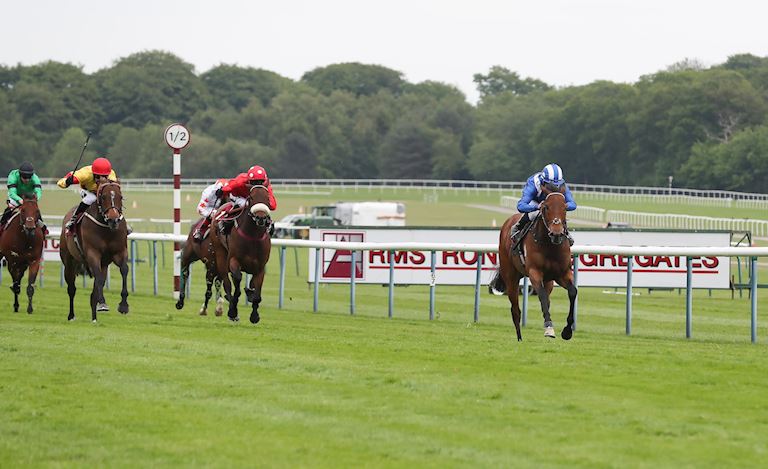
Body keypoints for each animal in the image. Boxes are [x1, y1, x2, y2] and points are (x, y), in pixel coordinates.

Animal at [60, 180, 130, 322]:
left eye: (120, 197)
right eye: (103, 197)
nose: (113, 219)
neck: (106, 229)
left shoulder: (119, 252)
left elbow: (124, 270)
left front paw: (124, 305)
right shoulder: (93, 254)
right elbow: (98, 276)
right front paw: (103, 303)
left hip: (104, 264)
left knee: (95, 290)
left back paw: (94, 318)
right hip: (69, 261)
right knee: (71, 288)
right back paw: (71, 315)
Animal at [210, 185, 272, 324]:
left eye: (267, 198)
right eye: (251, 197)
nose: (261, 218)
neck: (253, 236)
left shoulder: (260, 267)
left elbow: (256, 292)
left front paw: (254, 315)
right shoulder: (233, 260)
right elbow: (237, 279)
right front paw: (233, 309)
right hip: (221, 255)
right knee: (227, 283)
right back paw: (231, 310)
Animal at [492, 186, 576, 340]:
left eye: (565, 207)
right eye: (546, 207)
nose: (556, 233)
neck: (550, 246)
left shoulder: (562, 273)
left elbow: (572, 292)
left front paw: (567, 331)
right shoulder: (534, 272)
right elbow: (541, 295)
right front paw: (549, 328)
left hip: (549, 281)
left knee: (547, 301)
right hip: (510, 277)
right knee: (515, 309)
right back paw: (519, 338)